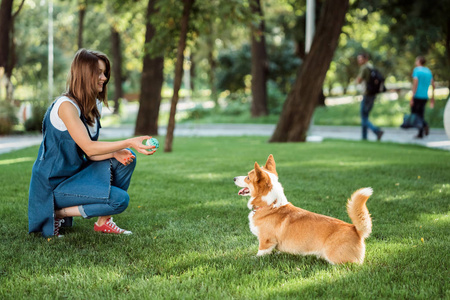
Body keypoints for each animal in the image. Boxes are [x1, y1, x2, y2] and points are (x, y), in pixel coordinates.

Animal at [234, 155, 374, 264]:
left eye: (248, 177)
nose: (234, 178)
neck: (270, 205)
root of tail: (356, 230)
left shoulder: (266, 240)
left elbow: (261, 252)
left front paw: (253, 258)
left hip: (334, 257)